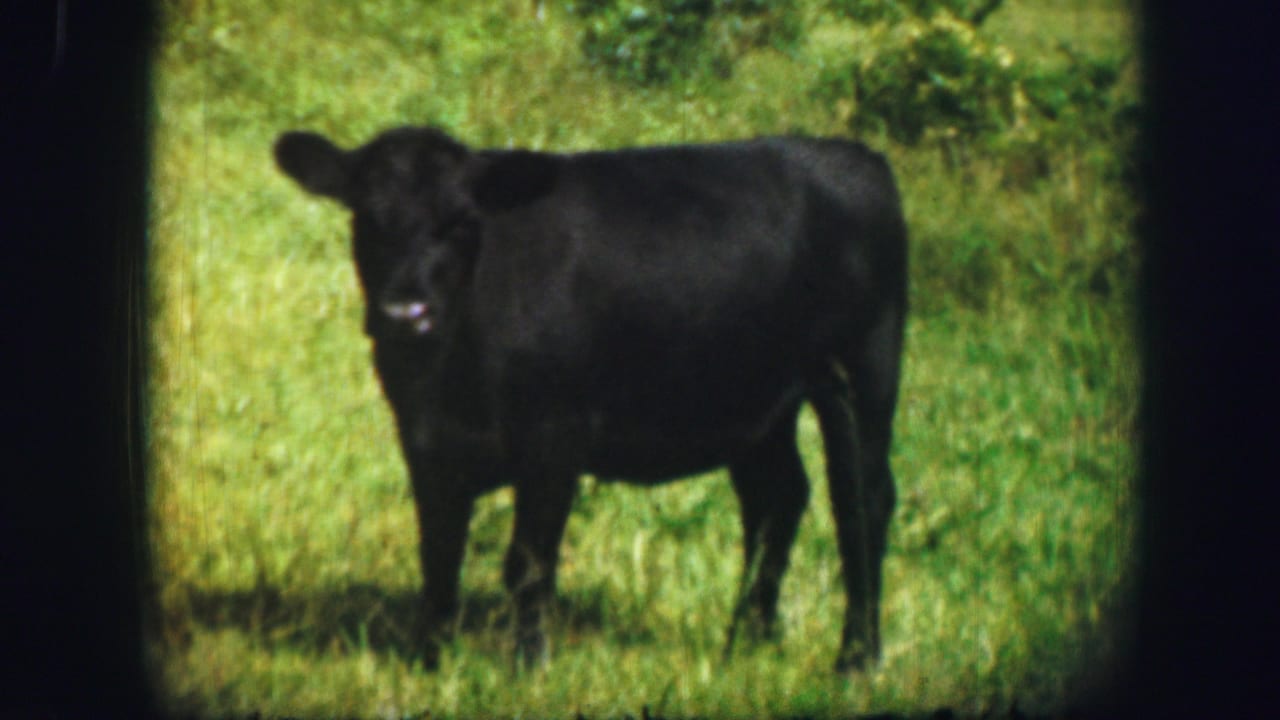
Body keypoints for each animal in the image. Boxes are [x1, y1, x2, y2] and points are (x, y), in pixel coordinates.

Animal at [272, 125, 908, 673]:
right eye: (366, 217)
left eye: (462, 221)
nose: (407, 313)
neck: (456, 371)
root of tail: (852, 156)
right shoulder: (424, 437)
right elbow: (439, 557)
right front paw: (428, 662)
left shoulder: (556, 433)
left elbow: (528, 562)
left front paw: (528, 666)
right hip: (753, 403)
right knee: (777, 498)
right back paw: (745, 641)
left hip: (860, 369)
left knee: (861, 501)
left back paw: (856, 658)